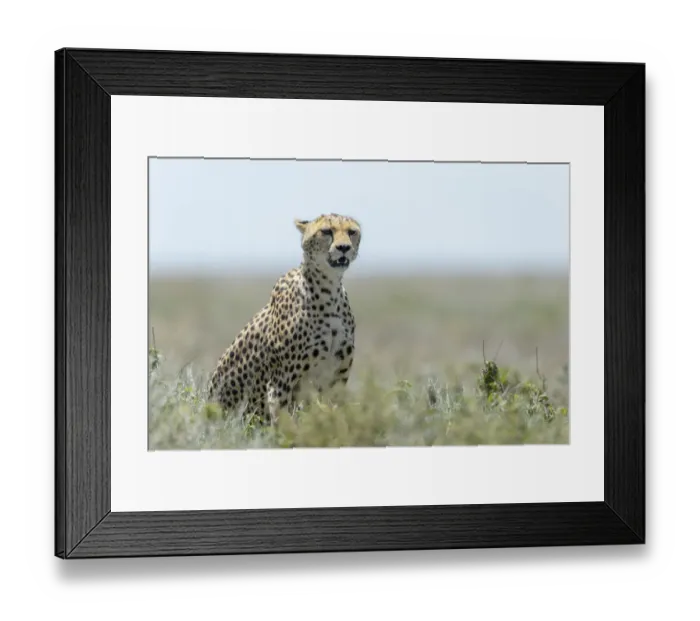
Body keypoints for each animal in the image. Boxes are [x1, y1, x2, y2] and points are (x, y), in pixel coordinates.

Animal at [207, 213, 361, 424]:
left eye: (352, 232)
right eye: (326, 231)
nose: (344, 247)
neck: (329, 291)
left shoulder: (337, 380)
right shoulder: (280, 385)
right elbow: (285, 424)